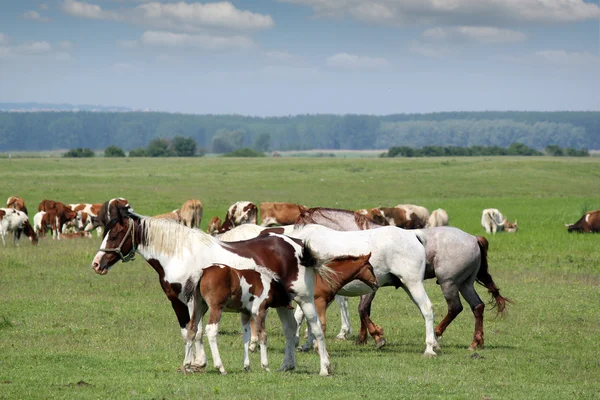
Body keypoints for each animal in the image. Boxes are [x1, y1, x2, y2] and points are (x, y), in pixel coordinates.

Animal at [90, 198, 332, 376]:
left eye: (115, 234)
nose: (96, 264)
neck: (179, 254)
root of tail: (298, 244)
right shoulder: (177, 301)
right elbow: (187, 331)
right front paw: (191, 363)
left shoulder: (190, 301)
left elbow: (196, 331)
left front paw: (199, 362)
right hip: (283, 301)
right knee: (290, 329)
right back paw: (287, 365)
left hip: (305, 299)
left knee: (316, 329)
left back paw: (325, 368)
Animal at [292, 206, 508, 350]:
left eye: (301, 221)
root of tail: (473, 238)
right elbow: (362, 311)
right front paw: (363, 338)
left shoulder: (370, 286)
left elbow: (362, 310)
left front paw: (375, 337)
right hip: (465, 284)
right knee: (477, 306)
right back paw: (476, 342)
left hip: (449, 283)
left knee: (455, 308)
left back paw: (437, 334)